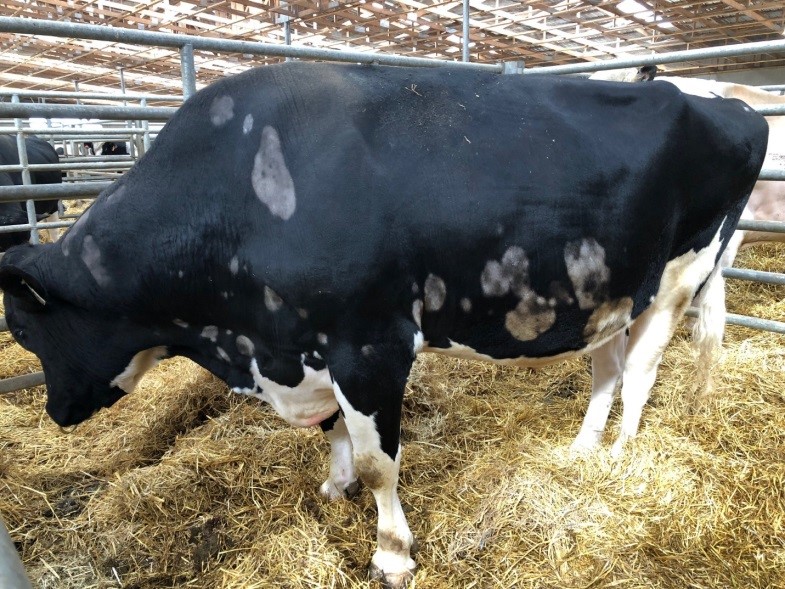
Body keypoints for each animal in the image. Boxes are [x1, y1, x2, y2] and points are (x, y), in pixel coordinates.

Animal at [0, 62, 764, 584]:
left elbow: (378, 463)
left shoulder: (369, 345)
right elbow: (337, 435)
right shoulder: (311, 346)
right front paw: (332, 486)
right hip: (607, 296)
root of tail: (725, 101)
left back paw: (617, 458)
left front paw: (391, 551)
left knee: (639, 373)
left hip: (678, 276)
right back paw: (580, 448)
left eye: (23, 331)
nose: (56, 412)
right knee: (607, 368)